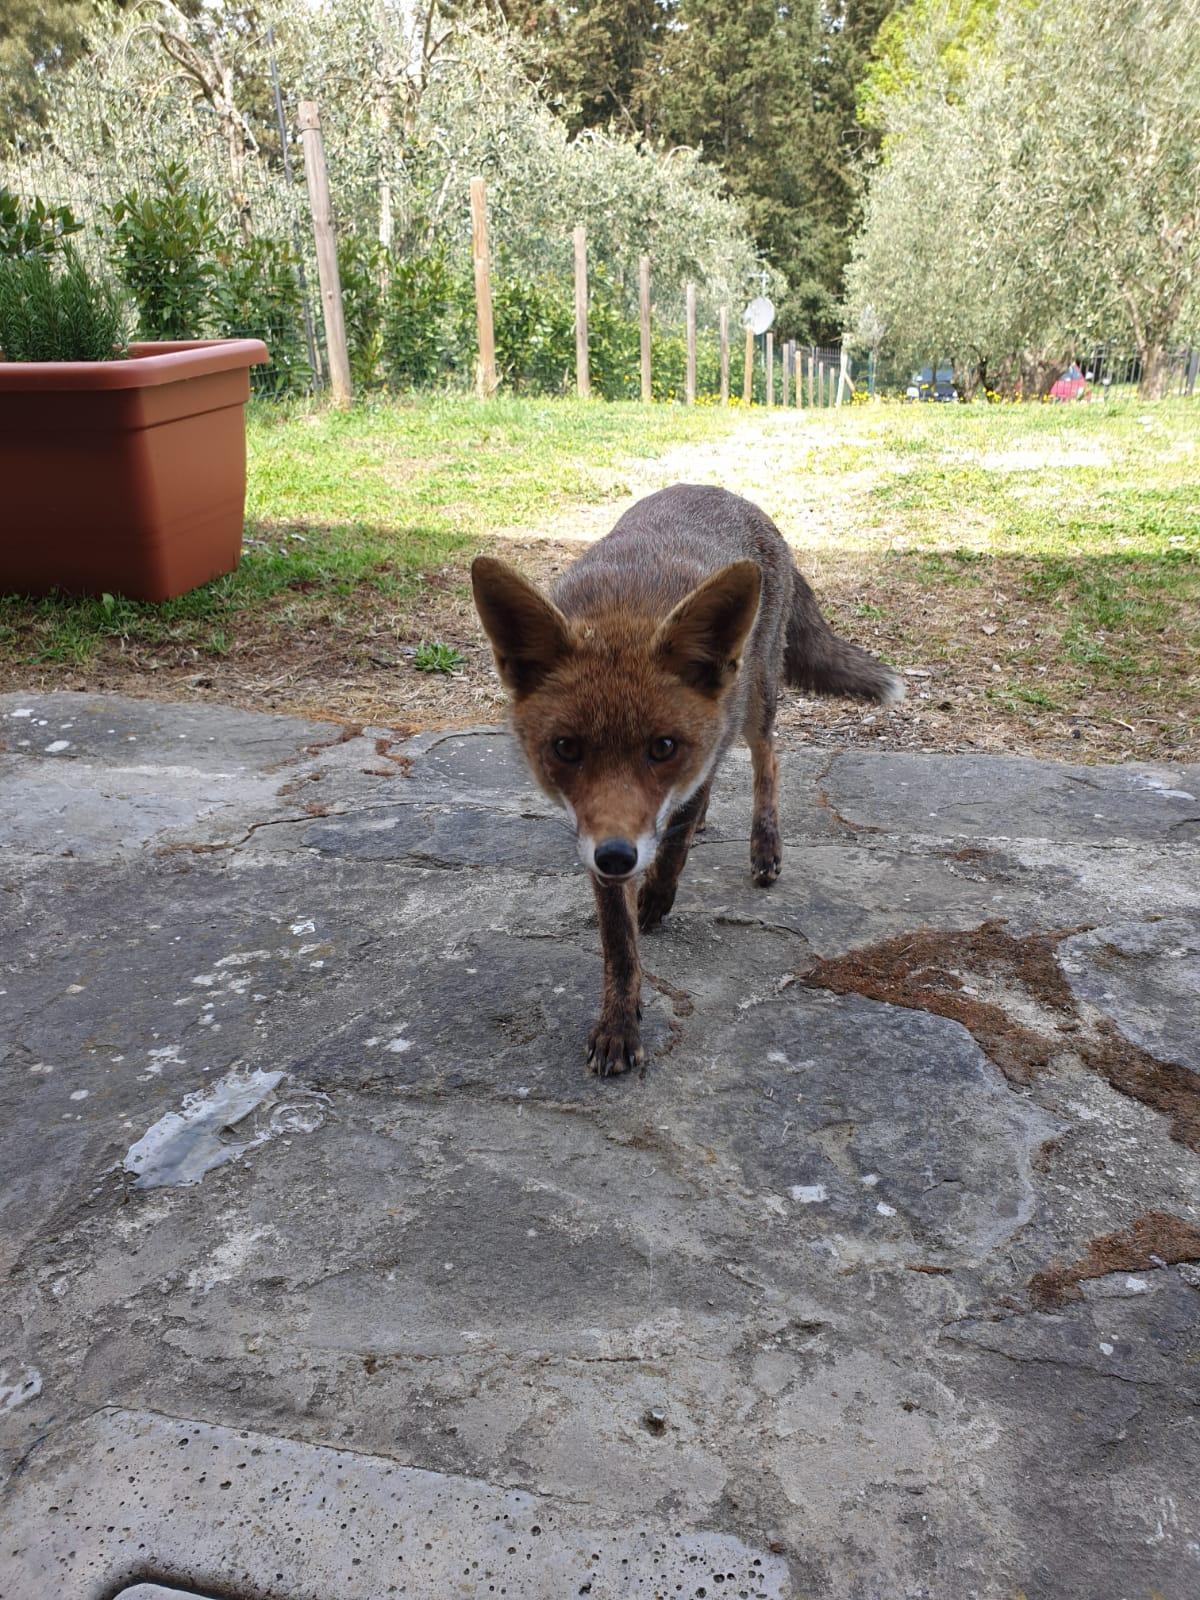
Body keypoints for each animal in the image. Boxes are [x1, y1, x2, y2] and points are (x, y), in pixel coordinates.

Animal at [471, 483, 903, 1077]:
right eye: (565, 749)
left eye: (663, 748)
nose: (617, 857)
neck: (625, 611)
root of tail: (724, 492)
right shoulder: (594, 832)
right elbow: (618, 942)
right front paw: (619, 1023)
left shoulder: (698, 762)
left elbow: (674, 842)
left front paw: (659, 893)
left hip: (755, 700)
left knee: (768, 762)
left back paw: (764, 847)